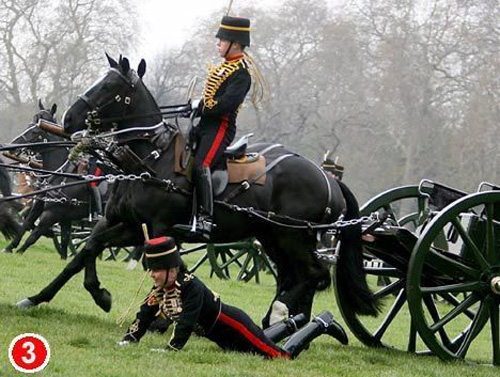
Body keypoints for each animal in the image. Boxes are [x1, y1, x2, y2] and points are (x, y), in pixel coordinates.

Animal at [18, 55, 378, 324]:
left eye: (110, 87)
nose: (68, 119)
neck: (151, 156)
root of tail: (328, 178)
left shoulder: (157, 229)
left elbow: (164, 269)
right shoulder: (125, 224)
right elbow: (86, 250)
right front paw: (48, 296)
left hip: (292, 238)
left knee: (314, 275)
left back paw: (279, 318)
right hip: (273, 239)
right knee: (295, 277)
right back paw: (283, 323)